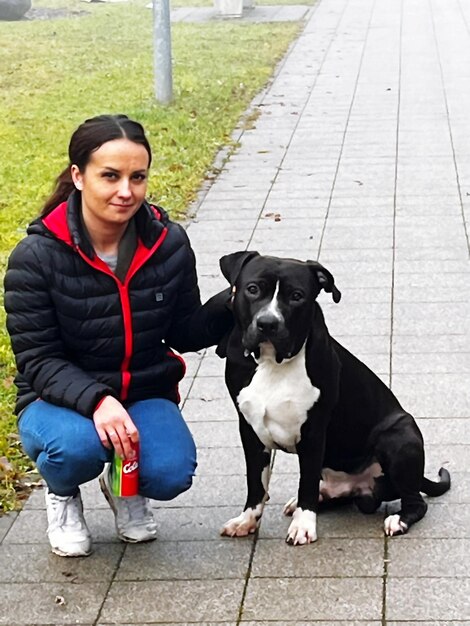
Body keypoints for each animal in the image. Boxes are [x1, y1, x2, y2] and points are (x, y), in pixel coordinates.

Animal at [218, 251, 450, 544]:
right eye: (252, 289)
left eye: (297, 296)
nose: (268, 323)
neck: (272, 362)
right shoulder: (250, 430)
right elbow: (256, 483)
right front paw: (246, 520)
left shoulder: (313, 432)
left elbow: (306, 482)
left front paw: (303, 526)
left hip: (400, 434)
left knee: (416, 502)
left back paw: (397, 520)